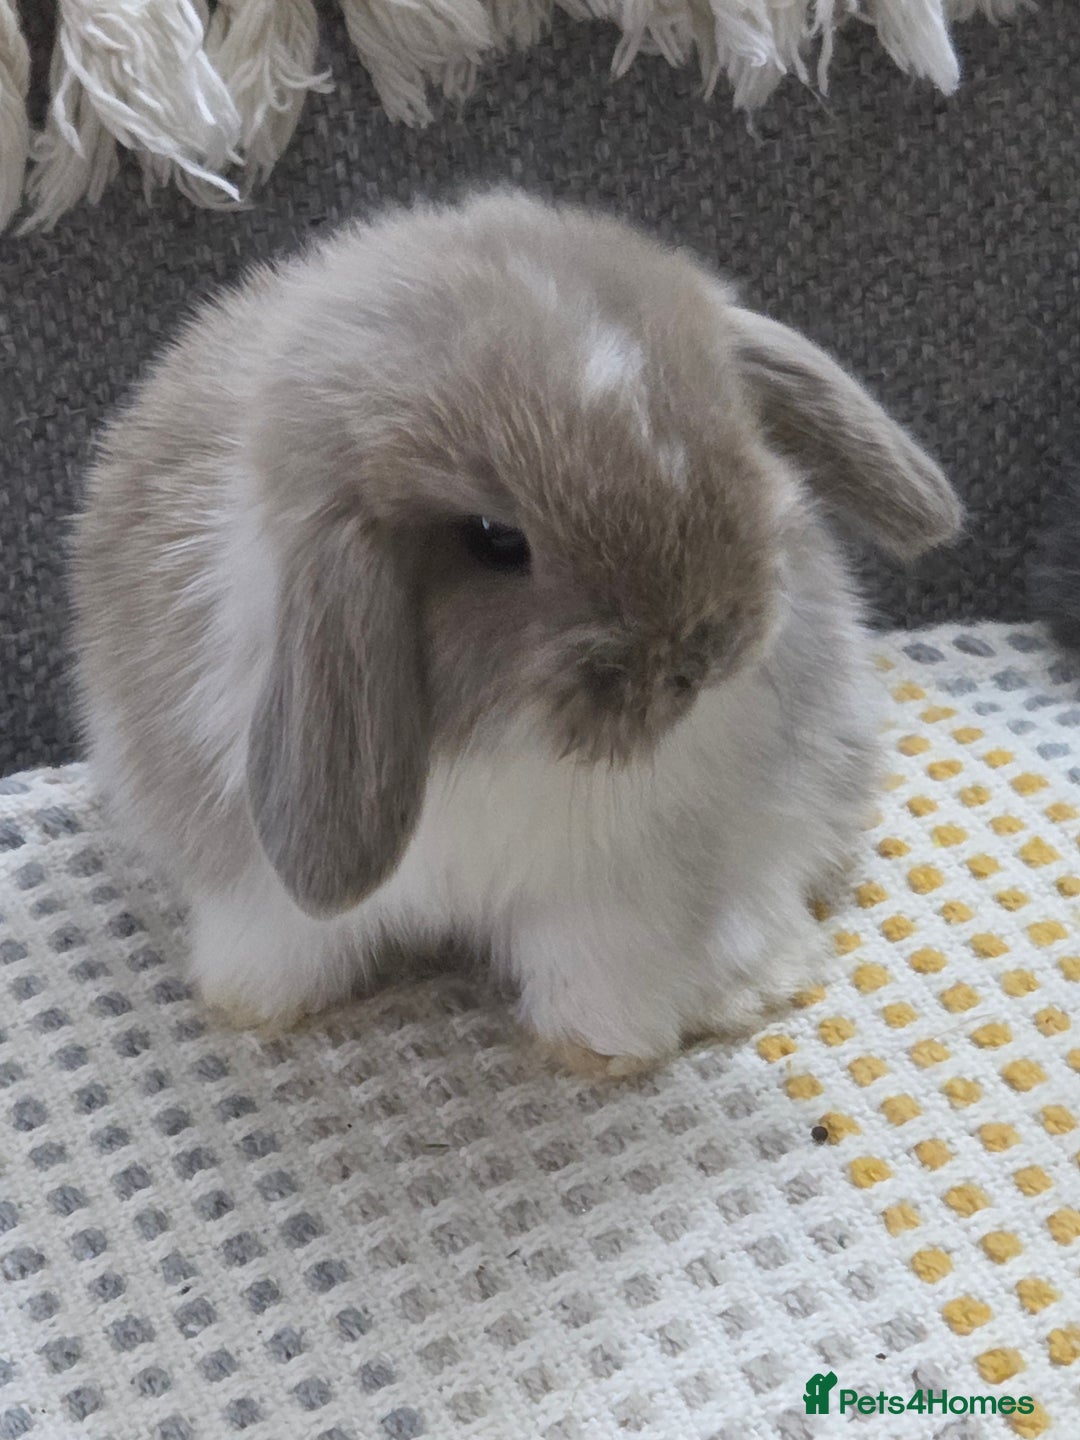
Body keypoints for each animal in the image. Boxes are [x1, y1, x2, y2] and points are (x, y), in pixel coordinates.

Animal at [73, 190, 962, 1075]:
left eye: (737, 444)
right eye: (497, 540)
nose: (703, 653)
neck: (497, 731)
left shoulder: (616, 884)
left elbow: (600, 963)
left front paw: (602, 1049)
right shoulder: (255, 883)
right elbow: (279, 941)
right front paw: (255, 1008)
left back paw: (752, 982)